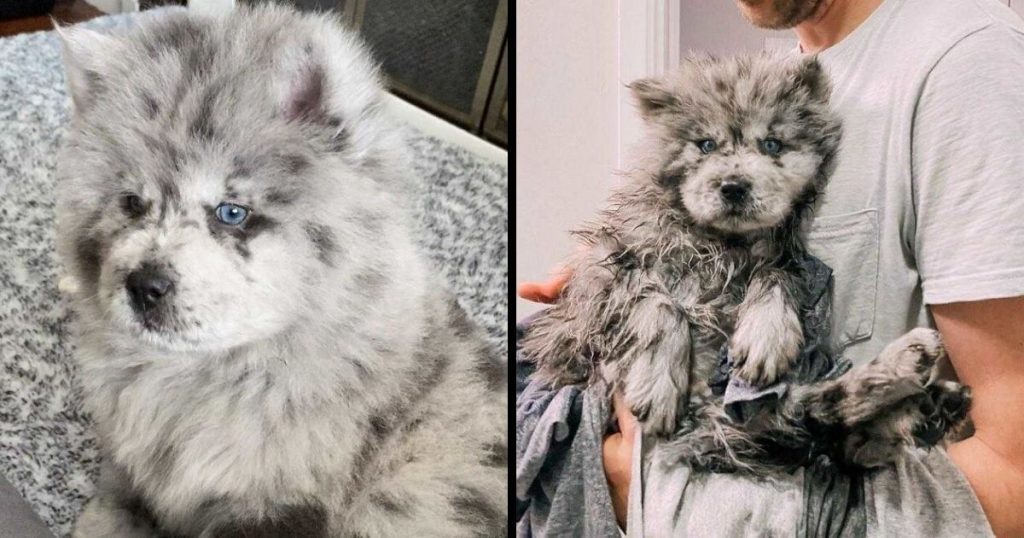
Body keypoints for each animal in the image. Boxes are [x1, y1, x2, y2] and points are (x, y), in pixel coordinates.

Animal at [55, 5, 503, 536]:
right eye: (131, 203)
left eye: (231, 212)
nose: (143, 285)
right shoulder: (128, 477)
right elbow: (105, 514)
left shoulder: (277, 505)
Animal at [520, 54, 966, 471]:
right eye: (704, 145)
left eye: (772, 144)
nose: (734, 187)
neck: (721, 242)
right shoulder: (602, 272)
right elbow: (660, 303)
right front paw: (660, 381)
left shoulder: (789, 259)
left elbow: (774, 275)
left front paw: (766, 334)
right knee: (813, 418)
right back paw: (919, 387)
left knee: (808, 413)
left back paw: (919, 378)